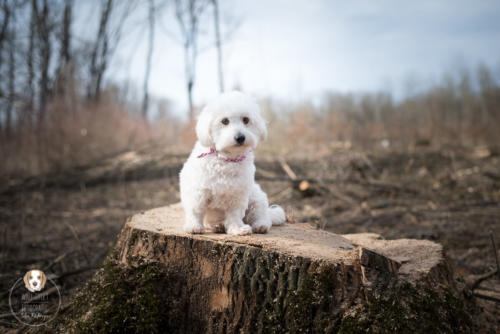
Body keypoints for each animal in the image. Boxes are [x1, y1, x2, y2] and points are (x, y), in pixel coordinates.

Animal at [182, 90, 288, 235]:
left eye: (246, 120)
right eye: (225, 121)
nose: (240, 137)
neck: (227, 158)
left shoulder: (237, 194)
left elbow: (234, 214)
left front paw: (237, 228)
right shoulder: (198, 191)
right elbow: (196, 210)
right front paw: (194, 226)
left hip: (256, 197)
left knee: (261, 215)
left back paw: (260, 225)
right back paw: (218, 226)